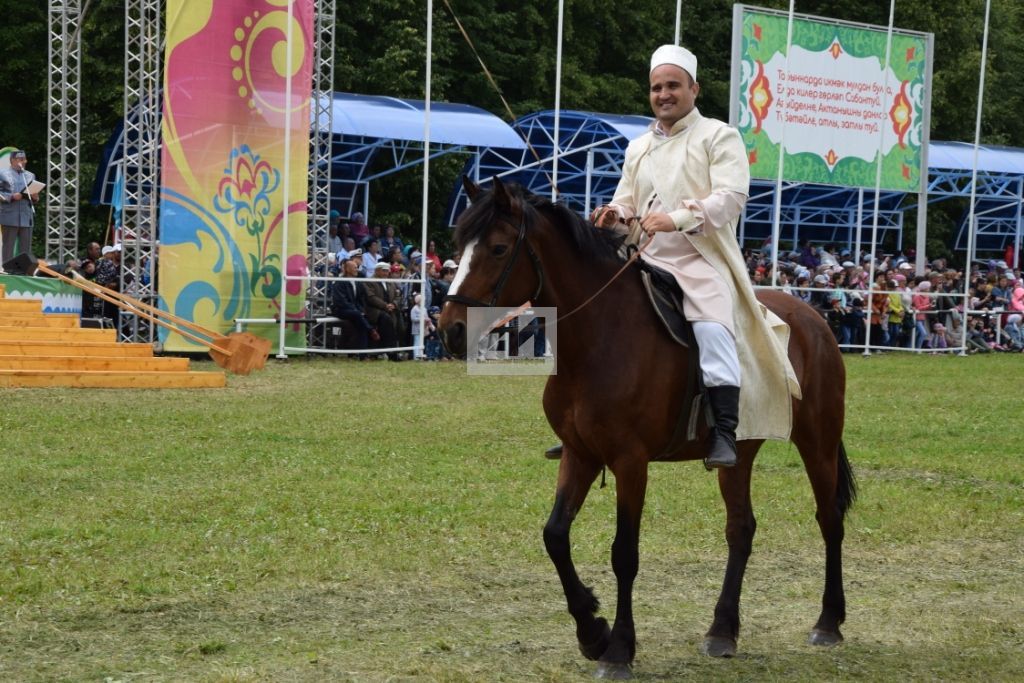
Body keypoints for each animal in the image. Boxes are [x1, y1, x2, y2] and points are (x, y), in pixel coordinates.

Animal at [440, 179, 856, 679]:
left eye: (499, 248)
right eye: (458, 247)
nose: (450, 330)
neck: (600, 335)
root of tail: (812, 317)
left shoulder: (630, 462)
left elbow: (624, 553)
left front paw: (618, 649)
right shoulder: (580, 454)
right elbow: (555, 535)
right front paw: (592, 631)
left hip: (819, 442)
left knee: (829, 520)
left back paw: (828, 621)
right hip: (739, 454)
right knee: (741, 529)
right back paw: (722, 630)